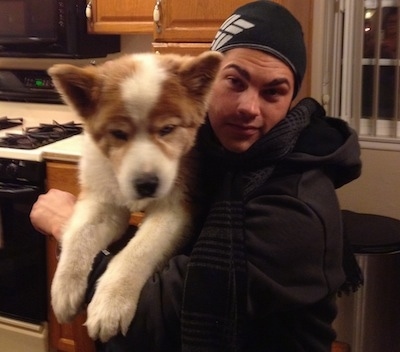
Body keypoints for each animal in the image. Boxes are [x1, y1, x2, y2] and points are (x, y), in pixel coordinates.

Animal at [48, 51, 223, 340]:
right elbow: (79, 236)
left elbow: (137, 252)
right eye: (118, 133)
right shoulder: (102, 199)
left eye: (167, 129)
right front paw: (64, 290)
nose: (146, 184)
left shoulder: (176, 209)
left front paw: (111, 303)